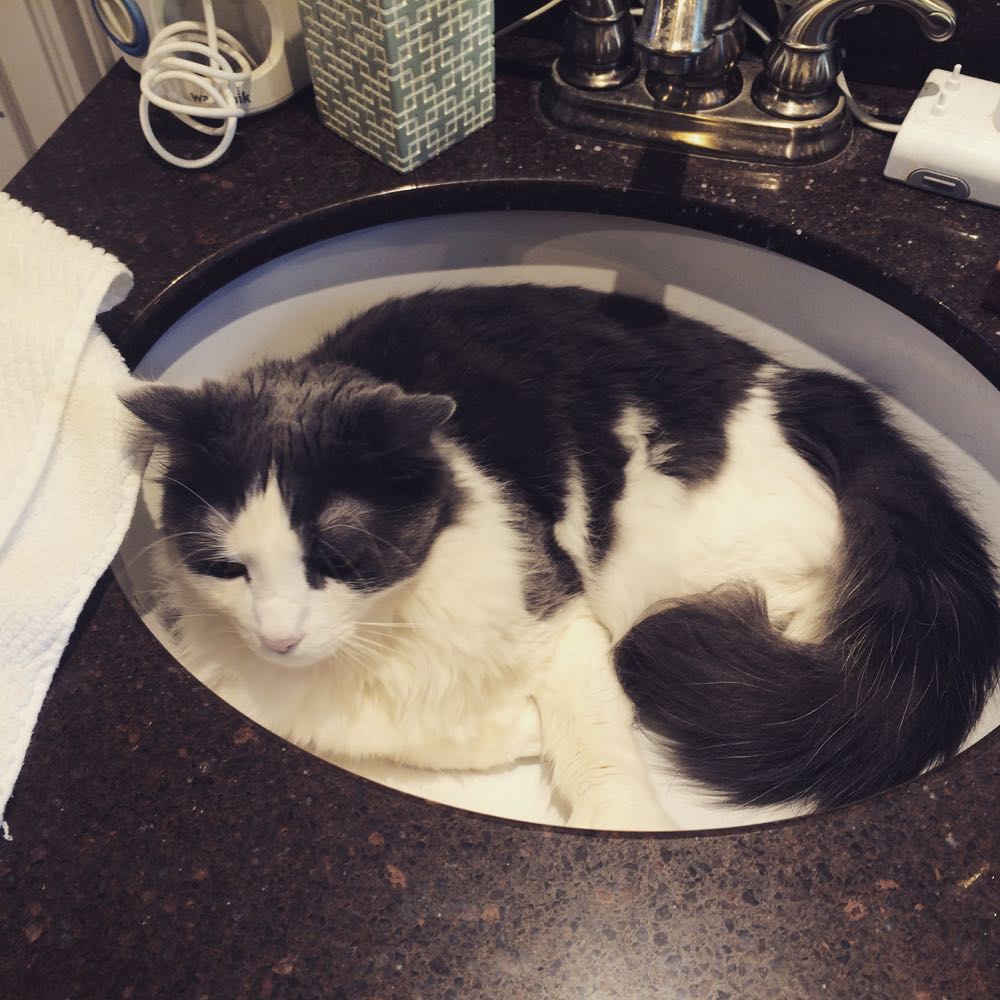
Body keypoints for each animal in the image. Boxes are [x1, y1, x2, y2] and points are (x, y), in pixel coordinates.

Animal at [123, 284, 1000, 828]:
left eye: (335, 556)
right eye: (228, 569)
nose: (278, 638)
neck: (382, 643)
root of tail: (804, 385)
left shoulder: (566, 620)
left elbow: (598, 750)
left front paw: (620, 817)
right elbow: (433, 737)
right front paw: (511, 730)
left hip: (667, 565)